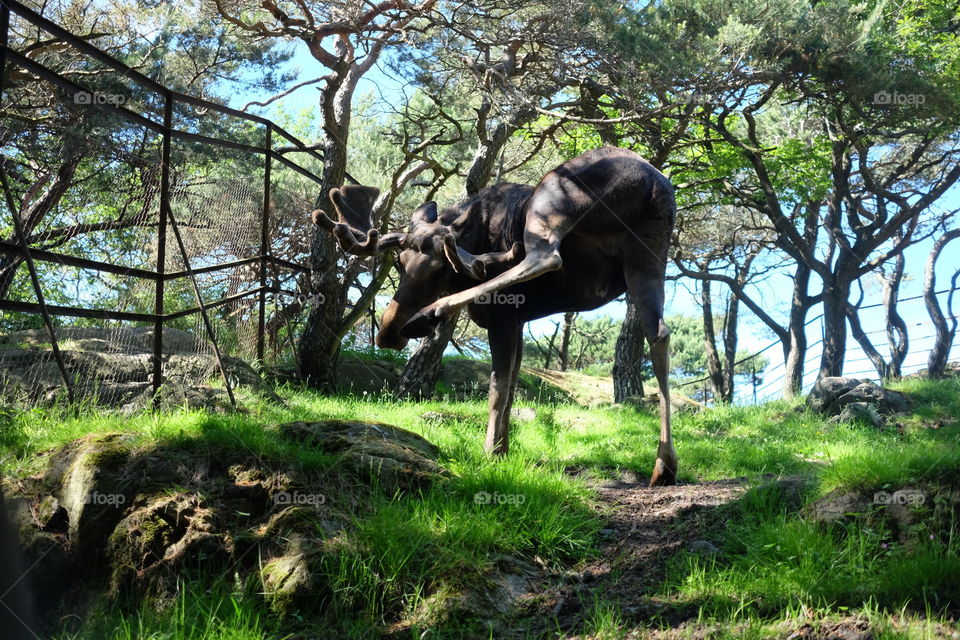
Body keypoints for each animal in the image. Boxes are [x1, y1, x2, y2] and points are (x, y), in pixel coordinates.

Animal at [312, 145, 680, 484]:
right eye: (401, 263)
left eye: (442, 270)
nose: (389, 332)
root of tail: (651, 183)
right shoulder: (518, 321)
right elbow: (512, 385)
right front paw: (504, 450)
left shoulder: (505, 316)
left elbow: (496, 387)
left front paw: (490, 452)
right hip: (648, 254)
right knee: (659, 334)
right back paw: (664, 464)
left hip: (553, 199)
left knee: (544, 257)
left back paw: (430, 313)